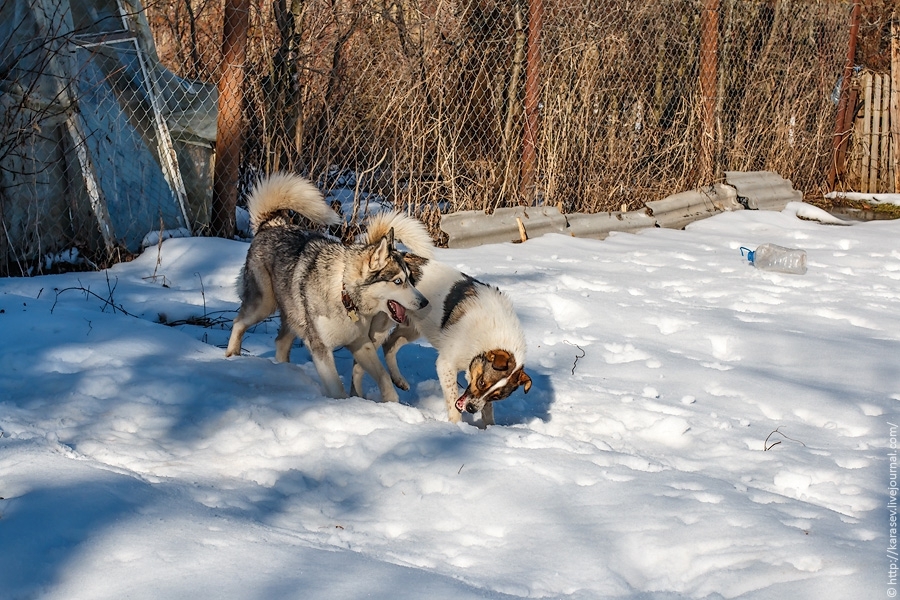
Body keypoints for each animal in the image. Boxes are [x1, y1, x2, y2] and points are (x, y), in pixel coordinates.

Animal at [230, 173, 430, 404]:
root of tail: (271, 224)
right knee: (238, 323)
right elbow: (337, 388)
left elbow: (383, 376)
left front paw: (391, 402)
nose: (425, 302)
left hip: (293, 316)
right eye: (398, 281)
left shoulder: (361, 343)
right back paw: (231, 356)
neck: (344, 294)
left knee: (280, 343)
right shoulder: (320, 348)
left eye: (410, 279)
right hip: (264, 304)